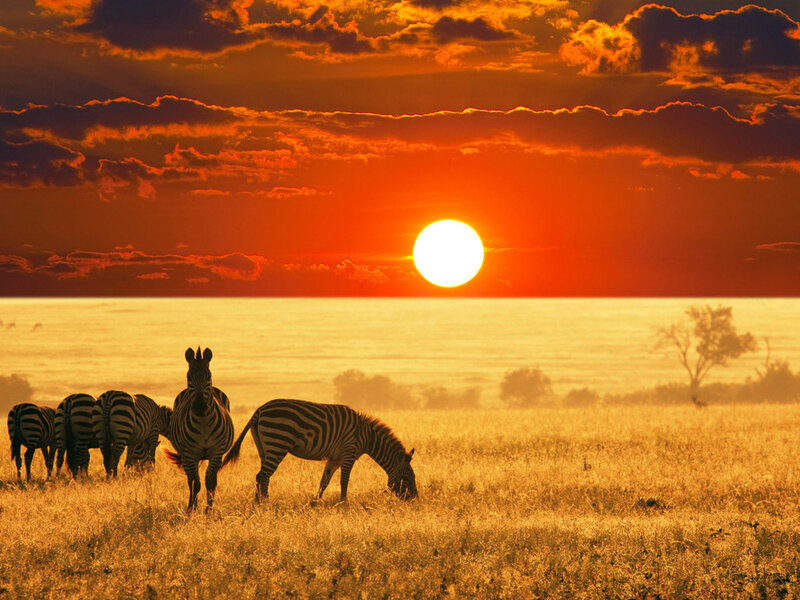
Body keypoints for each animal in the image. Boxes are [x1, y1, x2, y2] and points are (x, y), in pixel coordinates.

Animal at [165, 347, 234, 513]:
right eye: (188, 377)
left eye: (209, 376)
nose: (199, 405)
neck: (203, 422)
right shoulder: (190, 453)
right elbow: (196, 484)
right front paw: (192, 509)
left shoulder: (216, 452)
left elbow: (210, 482)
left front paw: (209, 511)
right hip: (187, 456)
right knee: (190, 480)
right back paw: (191, 505)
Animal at [221, 399, 417, 502]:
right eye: (407, 478)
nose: (415, 499)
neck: (367, 436)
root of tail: (260, 409)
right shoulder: (348, 453)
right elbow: (344, 481)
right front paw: (344, 504)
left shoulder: (335, 458)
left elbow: (324, 481)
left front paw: (315, 502)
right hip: (277, 442)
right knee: (263, 475)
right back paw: (265, 503)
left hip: (264, 447)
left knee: (261, 475)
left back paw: (259, 502)